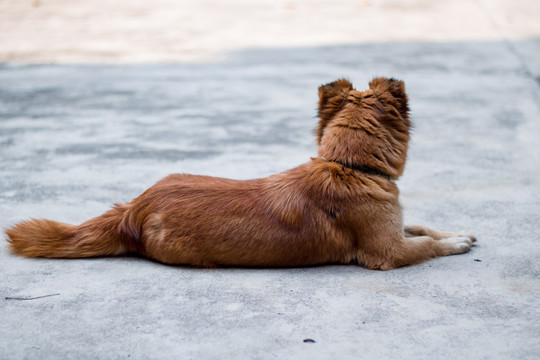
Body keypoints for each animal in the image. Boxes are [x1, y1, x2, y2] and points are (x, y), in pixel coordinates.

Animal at [5, 79, 476, 270]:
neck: (348, 166)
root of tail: (132, 210)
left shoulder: (395, 227)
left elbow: (421, 226)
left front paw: (456, 231)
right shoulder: (387, 252)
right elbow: (425, 246)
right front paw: (453, 244)